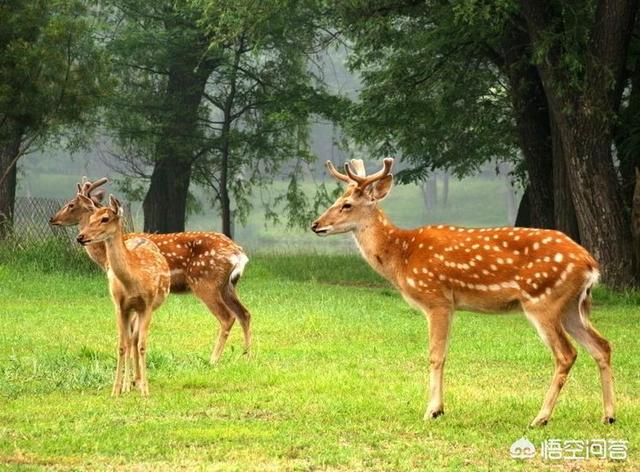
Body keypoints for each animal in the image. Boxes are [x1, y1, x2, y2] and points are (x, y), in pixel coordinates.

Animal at [50, 179, 251, 364]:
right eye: (91, 219)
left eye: (71, 204)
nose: (53, 219)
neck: (104, 256)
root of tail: (239, 253)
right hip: (227, 286)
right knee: (245, 313)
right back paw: (247, 356)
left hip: (206, 282)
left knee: (227, 317)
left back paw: (213, 360)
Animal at [76, 194, 171, 396]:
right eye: (91, 217)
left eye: (105, 218)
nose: (80, 236)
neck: (134, 280)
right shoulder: (119, 306)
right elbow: (121, 345)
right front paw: (116, 390)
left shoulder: (147, 305)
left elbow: (142, 345)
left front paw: (145, 391)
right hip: (130, 310)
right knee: (130, 339)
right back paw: (129, 384)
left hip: (144, 308)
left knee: (135, 339)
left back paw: (138, 382)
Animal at [312, 159, 616, 428]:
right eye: (337, 199)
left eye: (346, 204)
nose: (316, 224)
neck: (402, 256)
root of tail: (591, 265)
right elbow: (443, 353)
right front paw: (438, 408)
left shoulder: (437, 299)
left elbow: (435, 355)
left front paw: (432, 411)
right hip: (573, 307)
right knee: (602, 345)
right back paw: (608, 415)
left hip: (543, 300)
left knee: (567, 353)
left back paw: (540, 418)